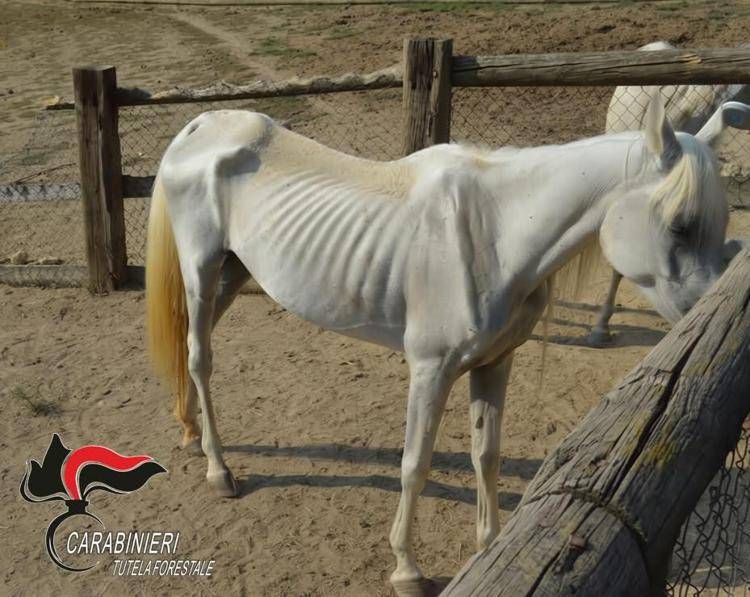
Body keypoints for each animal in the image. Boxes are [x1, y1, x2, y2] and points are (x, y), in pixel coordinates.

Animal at [145, 96, 750, 596]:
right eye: (680, 224)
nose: (710, 310)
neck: (499, 232)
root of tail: (201, 127)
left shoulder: (495, 363)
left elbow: (487, 453)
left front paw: (489, 547)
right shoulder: (430, 370)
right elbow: (416, 463)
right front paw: (406, 571)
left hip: (233, 273)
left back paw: (189, 433)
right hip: (201, 273)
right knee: (200, 359)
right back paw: (219, 471)